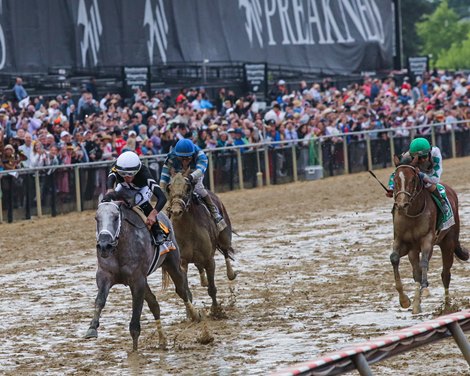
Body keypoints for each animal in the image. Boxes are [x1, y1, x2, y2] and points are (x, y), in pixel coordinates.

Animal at [85, 201, 199, 352]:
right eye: (96, 218)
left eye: (115, 218)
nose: (104, 245)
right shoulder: (105, 276)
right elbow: (100, 300)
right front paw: (92, 328)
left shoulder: (137, 281)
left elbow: (136, 313)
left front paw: (134, 351)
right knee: (154, 304)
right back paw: (162, 340)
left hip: (172, 263)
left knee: (182, 290)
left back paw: (194, 314)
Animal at [390, 154, 470, 312]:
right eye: (395, 180)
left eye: (413, 180)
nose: (401, 205)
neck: (412, 214)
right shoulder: (402, 241)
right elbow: (394, 258)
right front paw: (404, 300)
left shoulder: (427, 240)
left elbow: (425, 262)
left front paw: (425, 289)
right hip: (414, 251)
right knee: (416, 273)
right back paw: (417, 305)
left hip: (448, 243)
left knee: (445, 274)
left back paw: (447, 307)